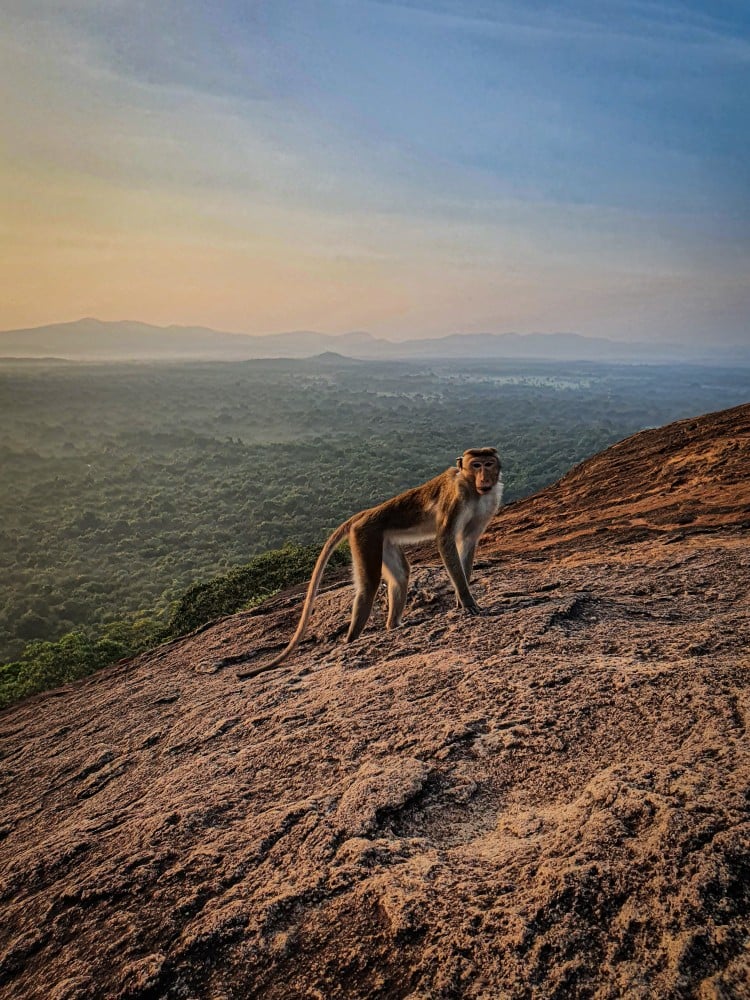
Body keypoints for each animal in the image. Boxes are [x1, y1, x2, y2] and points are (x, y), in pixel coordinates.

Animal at [235, 452, 506, 680]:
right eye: (476, 465)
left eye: (488, 463)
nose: (485, 477)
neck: (474, 491)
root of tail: (365, 513)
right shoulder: (456, 497)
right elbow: (445, 540)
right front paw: (467, 601)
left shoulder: (490, 500)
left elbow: (468, 542)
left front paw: (462, 599)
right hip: (365, 534)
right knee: (369, 585)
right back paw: (352, 639)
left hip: (383, 539)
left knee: (400, 576)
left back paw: (393, 625)